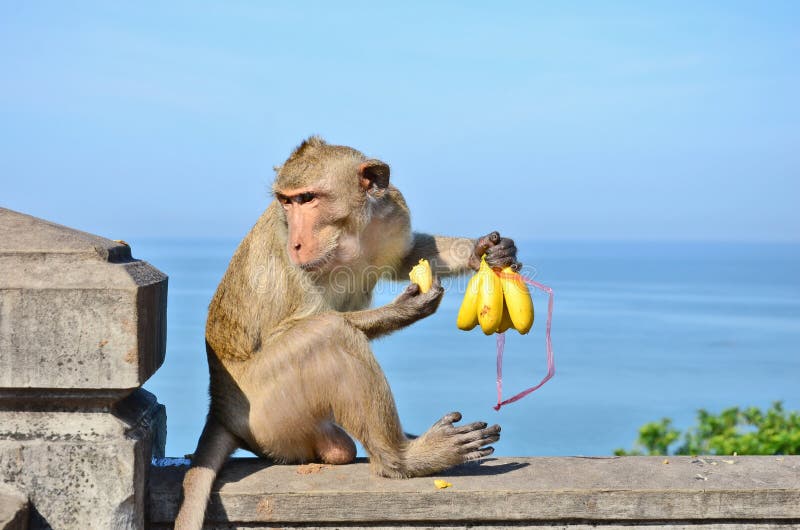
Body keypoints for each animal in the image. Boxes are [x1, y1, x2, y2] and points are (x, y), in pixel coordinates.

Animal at [174, 136, 520, 529]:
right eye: (287, 201)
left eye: (307, 198)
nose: (296, 241)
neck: (347, 234)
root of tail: (218, 408)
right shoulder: (289, 254)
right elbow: (296, 327)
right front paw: (400, 310)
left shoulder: (392, 212)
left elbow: (406, 256)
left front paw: (484, 250)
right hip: (264, 407)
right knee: (331, 332)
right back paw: (403, 459)